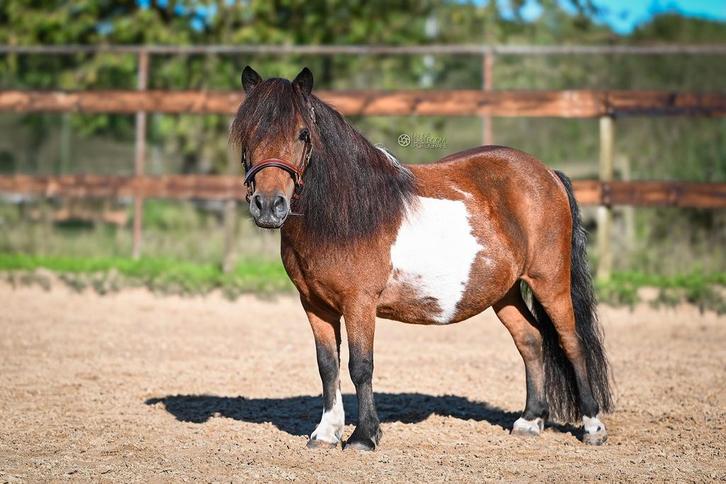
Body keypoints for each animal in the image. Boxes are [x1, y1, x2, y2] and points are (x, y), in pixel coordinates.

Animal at [230, 66, 613, 451]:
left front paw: (364, 436)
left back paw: (592, 427)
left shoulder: (359, 303)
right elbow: (327, 365)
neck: (345, 214)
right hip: (504, 292)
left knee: (571, 343)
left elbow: (360, 366)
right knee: (530, 339)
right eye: (247, 133)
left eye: (303, 134)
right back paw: (530, 420)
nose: (269, 205)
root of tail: (547, 174)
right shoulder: (314, 304)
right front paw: (325, 433)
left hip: (550, 281)